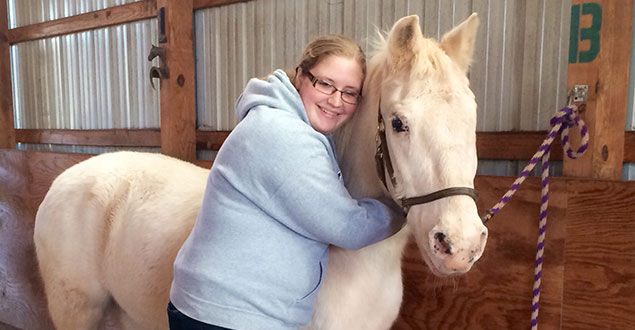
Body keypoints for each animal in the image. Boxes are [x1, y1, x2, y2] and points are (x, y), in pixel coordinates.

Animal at [33, 13, 482, 330]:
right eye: (398, 123)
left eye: (473, 116)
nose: (460, 246)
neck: (360, 269)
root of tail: (66, 179)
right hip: (77, 311)